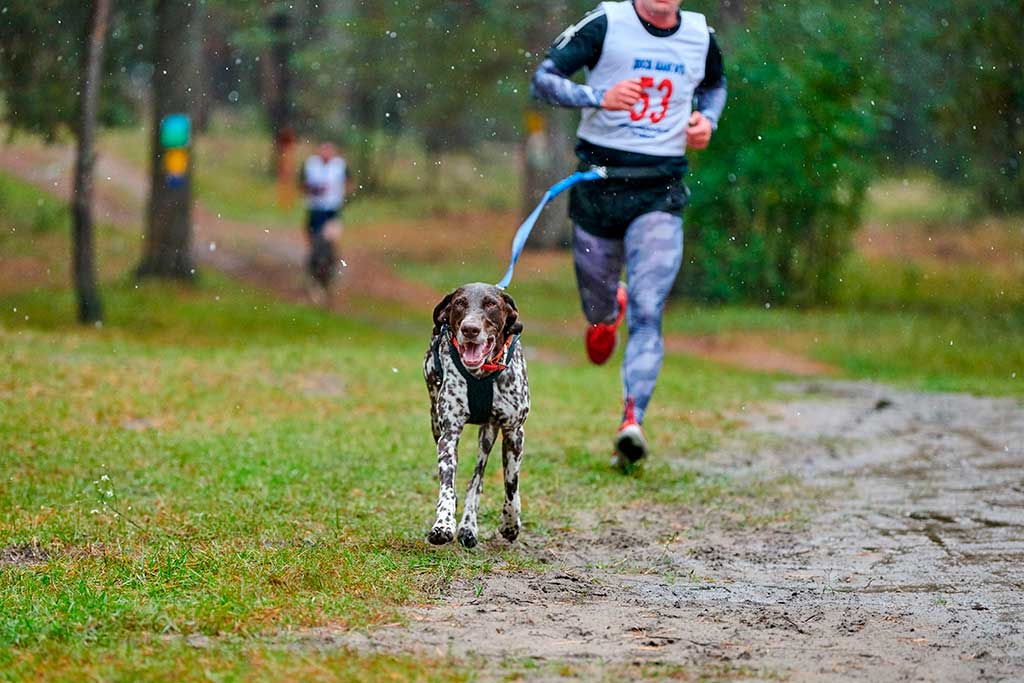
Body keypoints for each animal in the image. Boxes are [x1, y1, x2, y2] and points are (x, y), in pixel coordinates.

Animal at [423, 282, 532, 548]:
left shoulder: (514, 433)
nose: (470, 329)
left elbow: (511, 485)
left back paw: (469, 526)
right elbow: (447, 485)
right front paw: (443, 524)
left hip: (488, 434)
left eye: (491, 304)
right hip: (435, 422)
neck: (482, 374)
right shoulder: (448, 436)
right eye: (459, 303)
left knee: (478, 478)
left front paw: (510, 524)